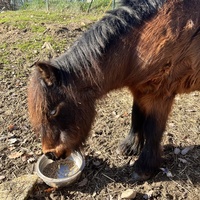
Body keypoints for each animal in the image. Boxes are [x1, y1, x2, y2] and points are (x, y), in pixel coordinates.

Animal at [27, 0, 200, 181]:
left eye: (53, 111)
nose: (50, 154)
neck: (140, 44)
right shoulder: (139, 90)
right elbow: (136, 116)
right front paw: (130, 146)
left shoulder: (160, 95)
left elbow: (153, 130)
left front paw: (144, 168)